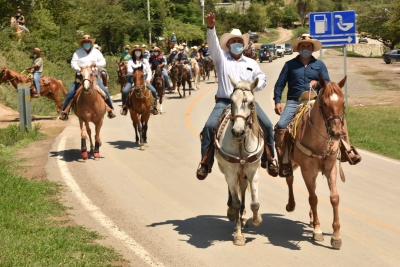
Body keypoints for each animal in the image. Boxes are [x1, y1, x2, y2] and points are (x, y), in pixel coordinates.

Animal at [214, 76, 264, 247]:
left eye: (251, 103)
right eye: (231, 100)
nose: (237, 131)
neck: (241, 143)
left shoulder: (253, 171)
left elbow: (255, 202)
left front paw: (256, 219)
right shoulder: (230, 171)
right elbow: (235, 202)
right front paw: (238, 235)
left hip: (243, 174)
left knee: (242, 188)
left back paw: (244, 217)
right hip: (226, 170)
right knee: (232, 190)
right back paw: (233, 213)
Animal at [284, 76, 346, 250]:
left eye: (343, 103)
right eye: (324, 103)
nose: (336, 133)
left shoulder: (331, 168)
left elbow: (334, 198)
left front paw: (336, 236)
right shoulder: (306, 170)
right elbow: (313, 198)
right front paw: (318, 231)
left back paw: (312, 218)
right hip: (291, 163)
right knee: (290, 180)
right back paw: (291, 205)